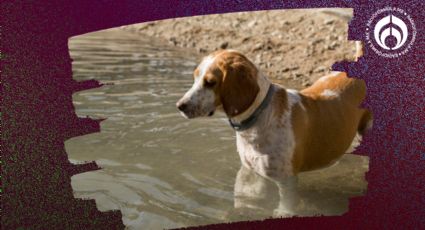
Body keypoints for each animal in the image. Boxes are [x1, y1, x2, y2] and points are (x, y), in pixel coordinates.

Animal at [176, 49, 372, 216]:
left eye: (210, 83)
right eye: (195, 77)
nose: (180, 106)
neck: (258, 116)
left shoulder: (287, 180)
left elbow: (286, 205)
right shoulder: (250, 171)